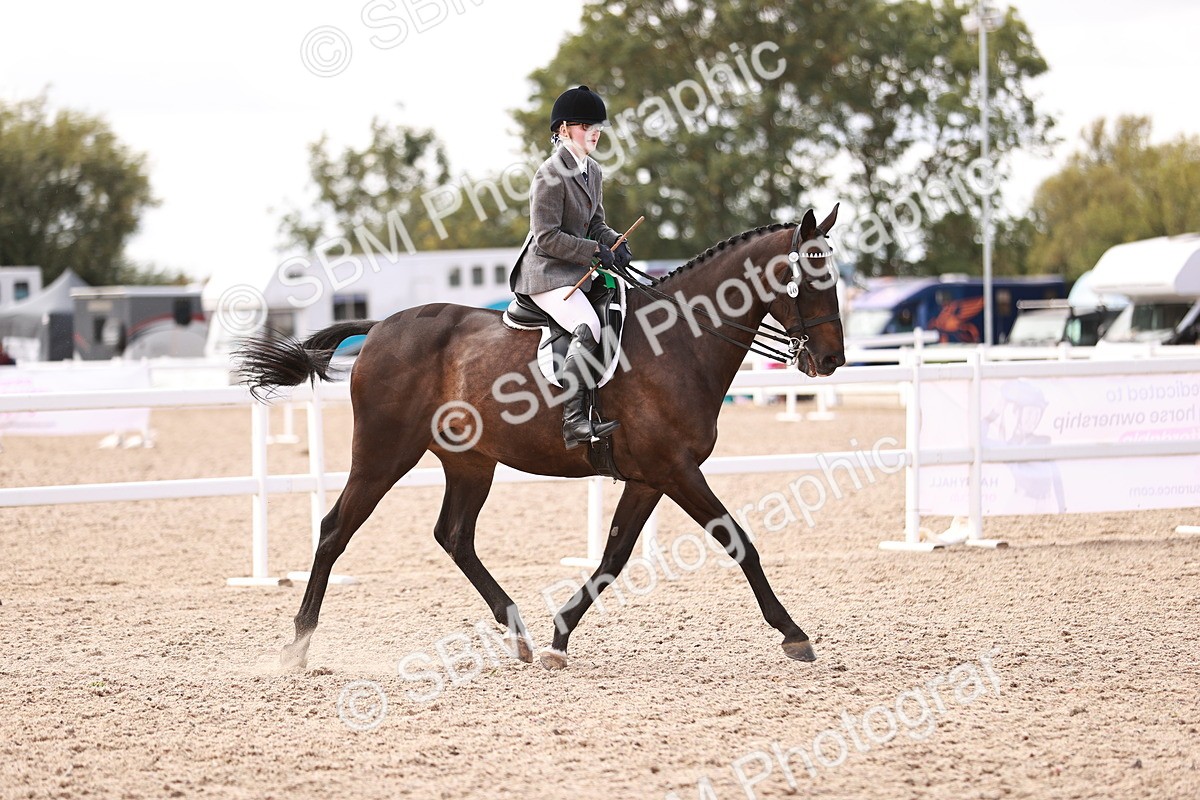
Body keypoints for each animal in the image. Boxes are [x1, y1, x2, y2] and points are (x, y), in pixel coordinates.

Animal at [236, 206, 844, 671]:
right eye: (813, 278)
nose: (832, 360)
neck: (679, 341)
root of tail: (379, 326)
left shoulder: (651, 477)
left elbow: (614, 556)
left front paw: (559, 635)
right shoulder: (675, 469)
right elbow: (739, 542)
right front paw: (794, 635)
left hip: (471, 463)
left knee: (454, 536)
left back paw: (520, 635)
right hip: (383, 456)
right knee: (335, 530)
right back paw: (297, 648)